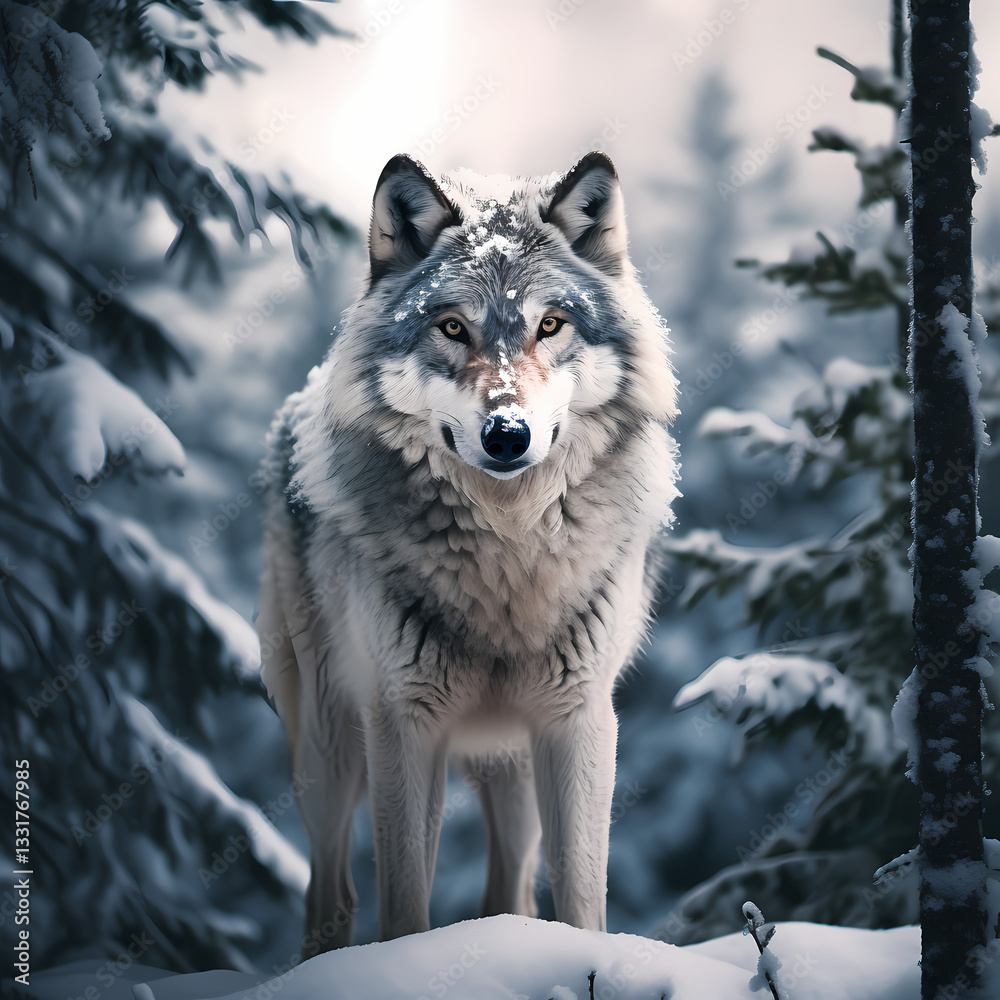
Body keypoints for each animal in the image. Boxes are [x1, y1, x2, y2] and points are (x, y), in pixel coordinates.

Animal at [257, 151, 679, 954]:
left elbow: (581, 899)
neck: (509, 553)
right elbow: (403, 905)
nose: (507, 434)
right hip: (329, 745)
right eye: (452, 326)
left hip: (508, 764)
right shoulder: (402, 721)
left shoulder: (578, 720)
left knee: (507, 887)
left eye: (551, 323)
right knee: (331, 890)